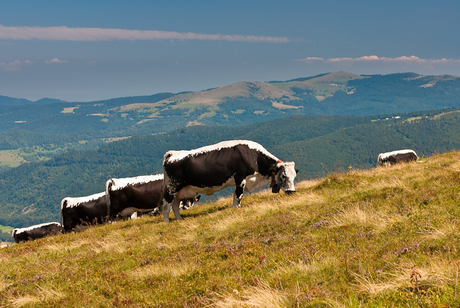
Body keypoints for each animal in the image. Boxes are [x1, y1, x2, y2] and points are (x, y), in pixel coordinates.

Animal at [161, 140, 298, 221]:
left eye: (294, 176)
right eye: (283, 176)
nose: (292, 192)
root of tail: (172, 154)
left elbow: (234, 196)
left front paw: (233, 208)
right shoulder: (241, 178)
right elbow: (238, 195)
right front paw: (237, 208)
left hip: (179, 190)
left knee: (175, 205)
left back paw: (179, 219)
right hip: (171, 187)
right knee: (166, 205)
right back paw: (167, 222)